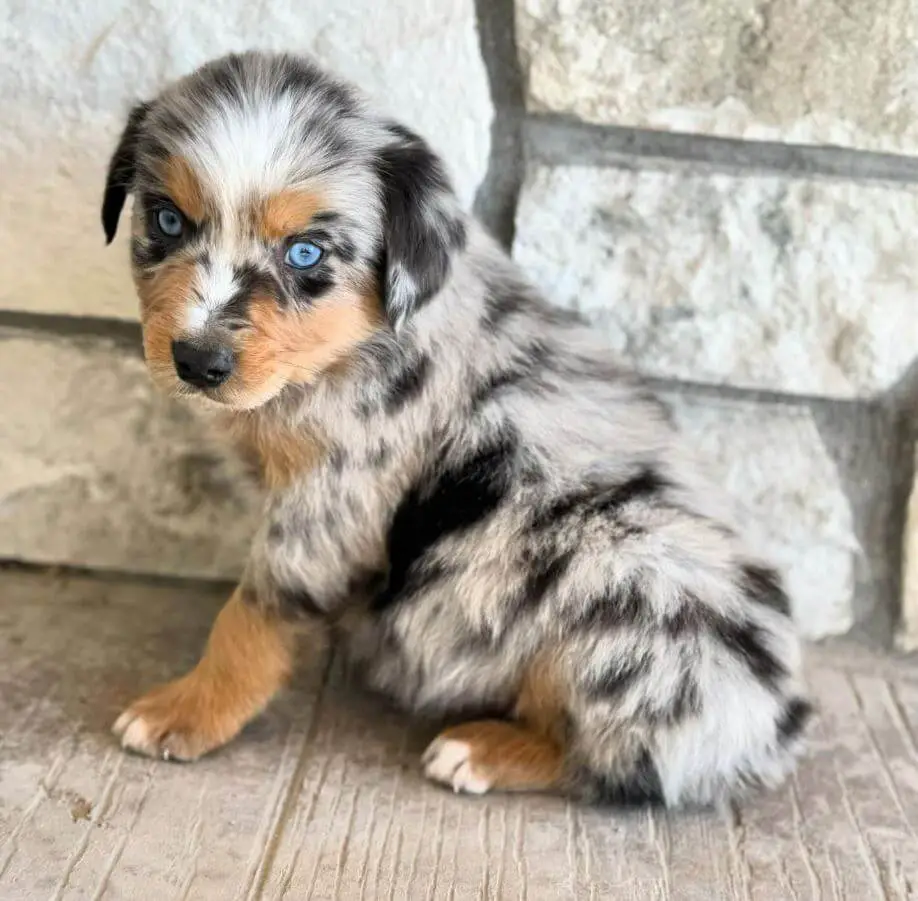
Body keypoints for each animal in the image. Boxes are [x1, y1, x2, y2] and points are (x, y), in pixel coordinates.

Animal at [100, 52, 812, 804]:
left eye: (305, 254)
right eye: (168, 220)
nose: (197, 361)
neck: (340, 356)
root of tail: (773, 729)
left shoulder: (334, 498)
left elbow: (251, 613)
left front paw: (185, 711)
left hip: (626, 580)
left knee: (612, 758)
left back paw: (479, 750)